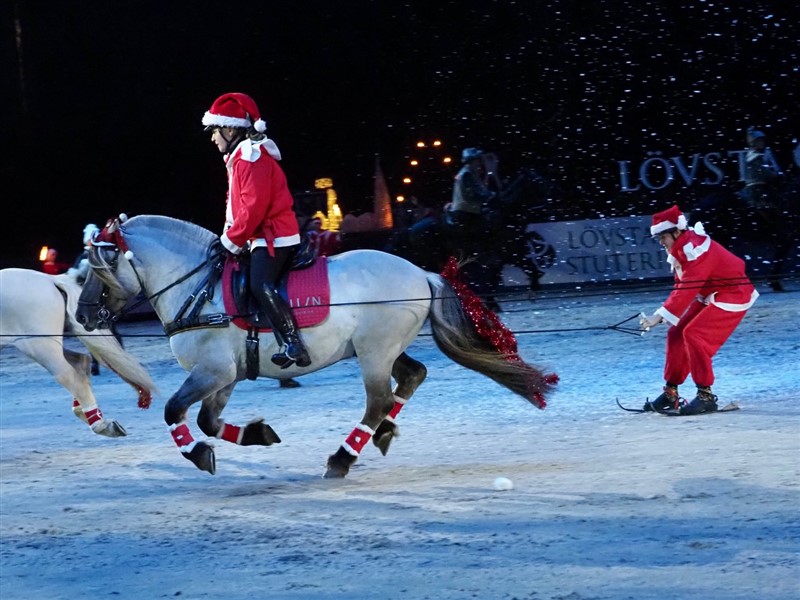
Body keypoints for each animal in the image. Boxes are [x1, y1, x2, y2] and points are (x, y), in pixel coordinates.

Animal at [0, 268, 155, 436]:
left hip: (39, 345)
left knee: (68, 375)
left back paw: (100, 424)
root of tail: (50, 280)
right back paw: (86, 412)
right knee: (81, 361)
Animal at [78, 213, 560, 476]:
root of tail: (421, 272)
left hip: (374, 352)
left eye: (100, 266)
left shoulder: (213, 371)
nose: (82, 315)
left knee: (378, 399)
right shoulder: (225, 375)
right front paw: (258, 434)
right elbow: (208, 421)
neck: (198, 287)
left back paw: (342, 457)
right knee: (412, 375)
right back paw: (382, 433)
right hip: (379, 348)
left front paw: (198, 455)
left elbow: (175, 412)